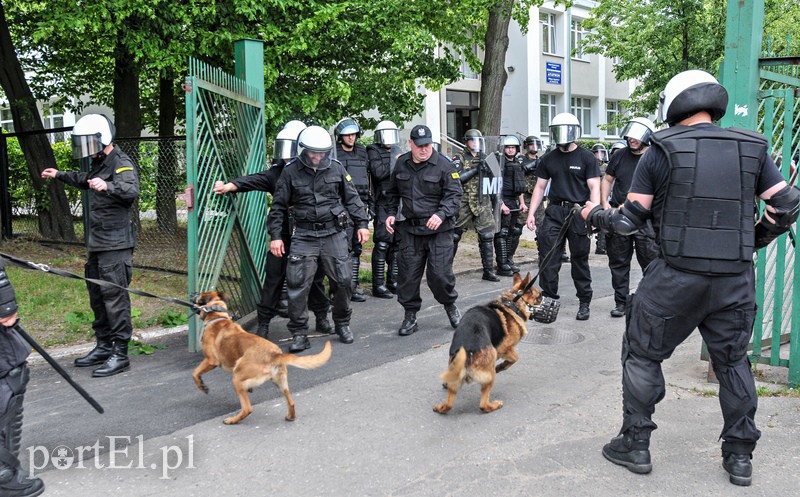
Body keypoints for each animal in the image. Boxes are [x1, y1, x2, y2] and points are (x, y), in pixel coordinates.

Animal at [191, 292, 332, 424]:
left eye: (198, 296)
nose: (193, 294)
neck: (216, 316)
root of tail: (275, 354)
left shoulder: (210, 360)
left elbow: (195, 373)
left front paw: (201, 385)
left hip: (237, 379)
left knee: (247, 408)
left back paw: (232, 420)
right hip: (280, 382)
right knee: (291, 402)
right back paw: (290, 417)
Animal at [434, 272, 540, 414]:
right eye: (539, 296)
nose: (544, 297)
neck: (512, 304)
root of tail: (468, 350)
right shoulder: (505, 348)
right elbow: (515, 358)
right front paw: (501, 366)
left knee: (448, 404)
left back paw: (440, 405)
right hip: (490, 372)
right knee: (483, 405)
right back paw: (494, 404)